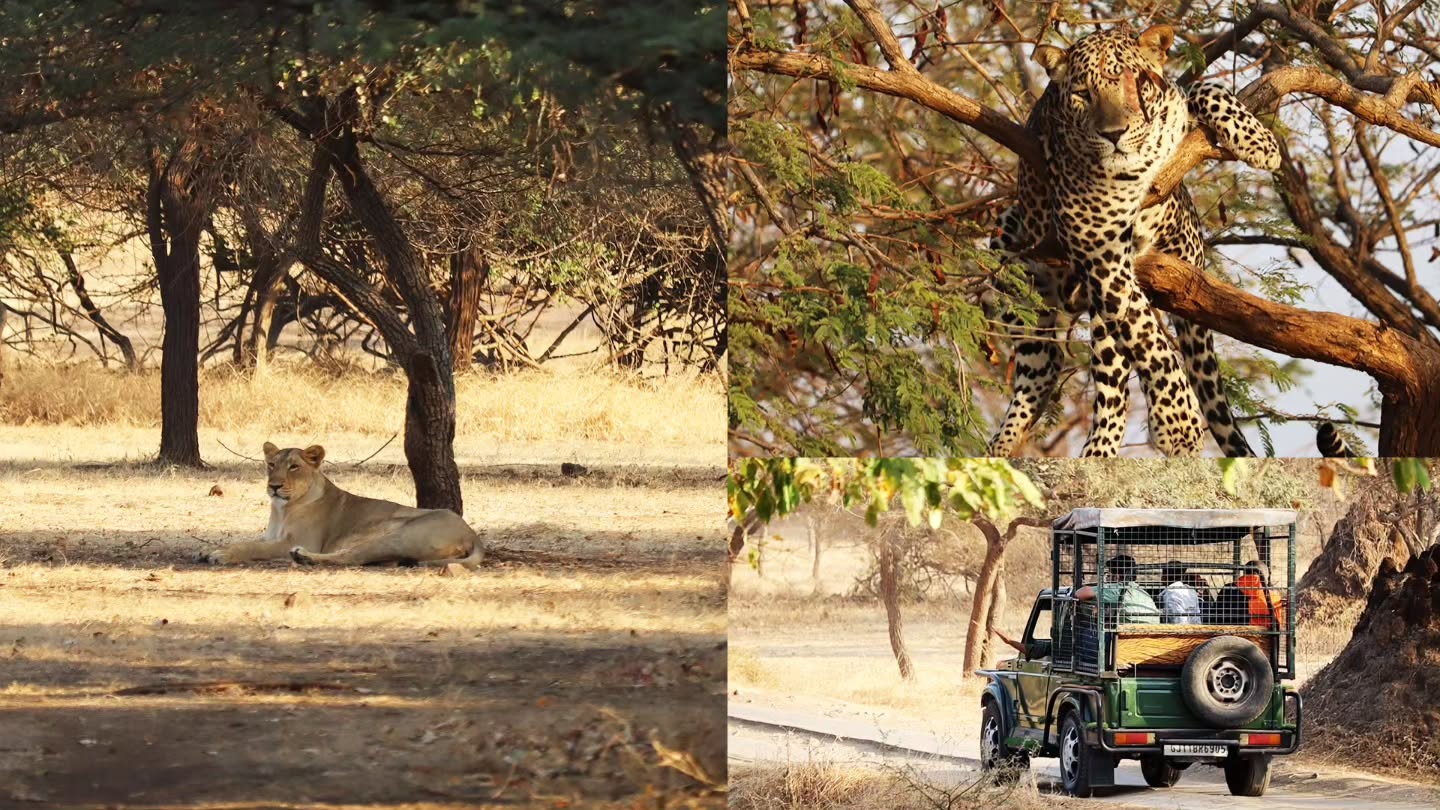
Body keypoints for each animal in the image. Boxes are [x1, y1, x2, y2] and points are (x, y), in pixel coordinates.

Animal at [197, 443, 484, 568]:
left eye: (293, 467)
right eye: (271, 464)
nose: (274, 486)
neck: (282, 509)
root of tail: (473, 535)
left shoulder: (298, 539)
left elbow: (251, 547)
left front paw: (220, 555)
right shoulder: (272, 536)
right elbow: (246, 540)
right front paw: (210, 549)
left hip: (401, 535)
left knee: (352, 557)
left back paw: (303, 557)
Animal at [984, 24, 1282, 457]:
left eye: (1135, 85)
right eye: (1082, 93)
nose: (1114, 134)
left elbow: (1205, 87)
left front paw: (1261, 143)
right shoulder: (1097, 243)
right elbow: (1150, 341)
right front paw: (1179, 420)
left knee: (1110, 377)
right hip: (1013, 254)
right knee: (1046, 363)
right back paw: (1016, 443)